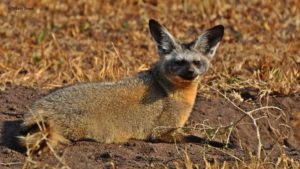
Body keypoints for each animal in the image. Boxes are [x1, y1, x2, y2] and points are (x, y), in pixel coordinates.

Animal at [18, 19, 224, 151]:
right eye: (179, 62)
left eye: (196, 63)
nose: (191, 73)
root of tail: (37, 109)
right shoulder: (161, 132)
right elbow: (198, 138)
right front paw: (223, 144)